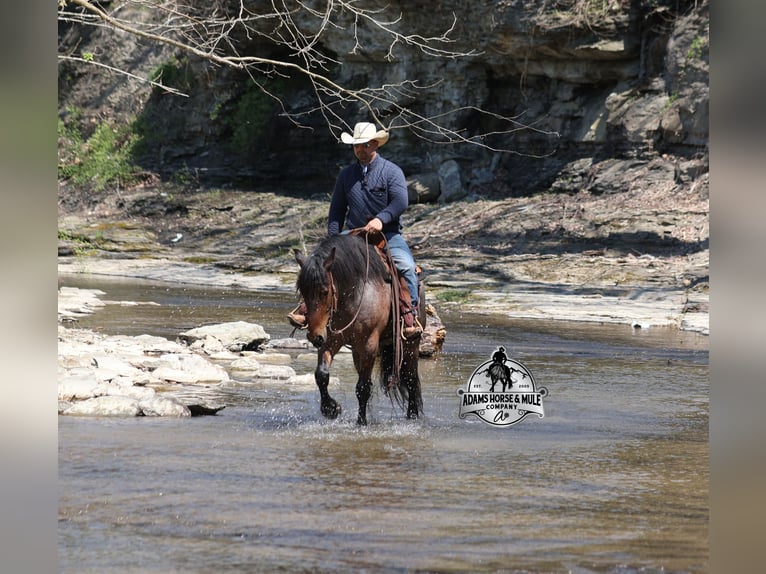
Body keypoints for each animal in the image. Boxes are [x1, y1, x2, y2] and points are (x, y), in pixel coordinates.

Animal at [294, 232, 424, 425]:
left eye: (325, 291)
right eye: (302, 290)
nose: (314, 337)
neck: (353, 294)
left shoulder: (369, 344)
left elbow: (362, 387)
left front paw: (361, 422)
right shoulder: (331, 340)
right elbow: (321, 375)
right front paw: (331, 408)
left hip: (409, 346)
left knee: (411, 378)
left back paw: (412, 416)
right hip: (358, 351)